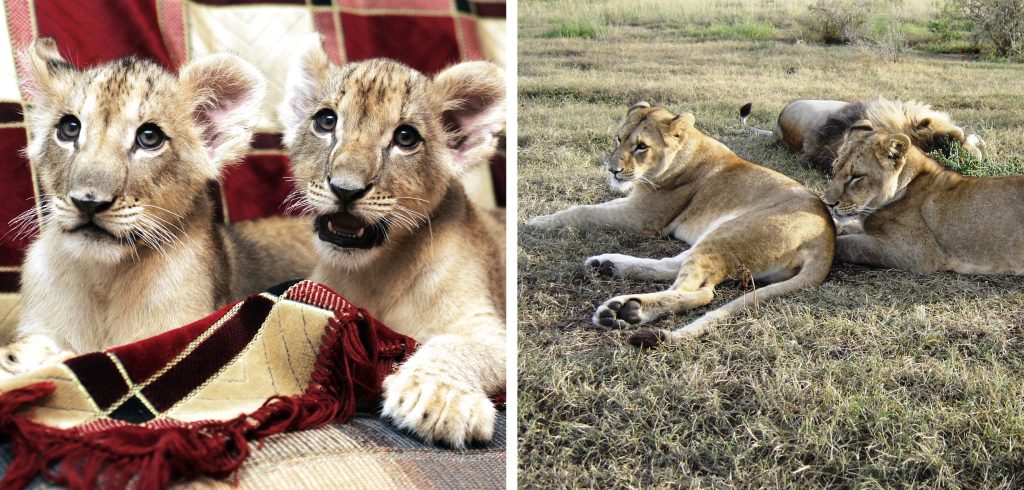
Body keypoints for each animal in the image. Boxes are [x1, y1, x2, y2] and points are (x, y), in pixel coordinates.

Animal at [532, 102, 835, 349]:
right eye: (619, 139)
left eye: (641, 146)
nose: (612, 170)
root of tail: (827, 241)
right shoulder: (634, 203)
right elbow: (591, 208)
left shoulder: (642, 216)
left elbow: (583, 212)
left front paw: (537, 222)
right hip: (714, 237)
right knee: (671, 265)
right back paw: (606, 266)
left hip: (726, 235)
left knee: (701, 293)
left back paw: (625, 311)